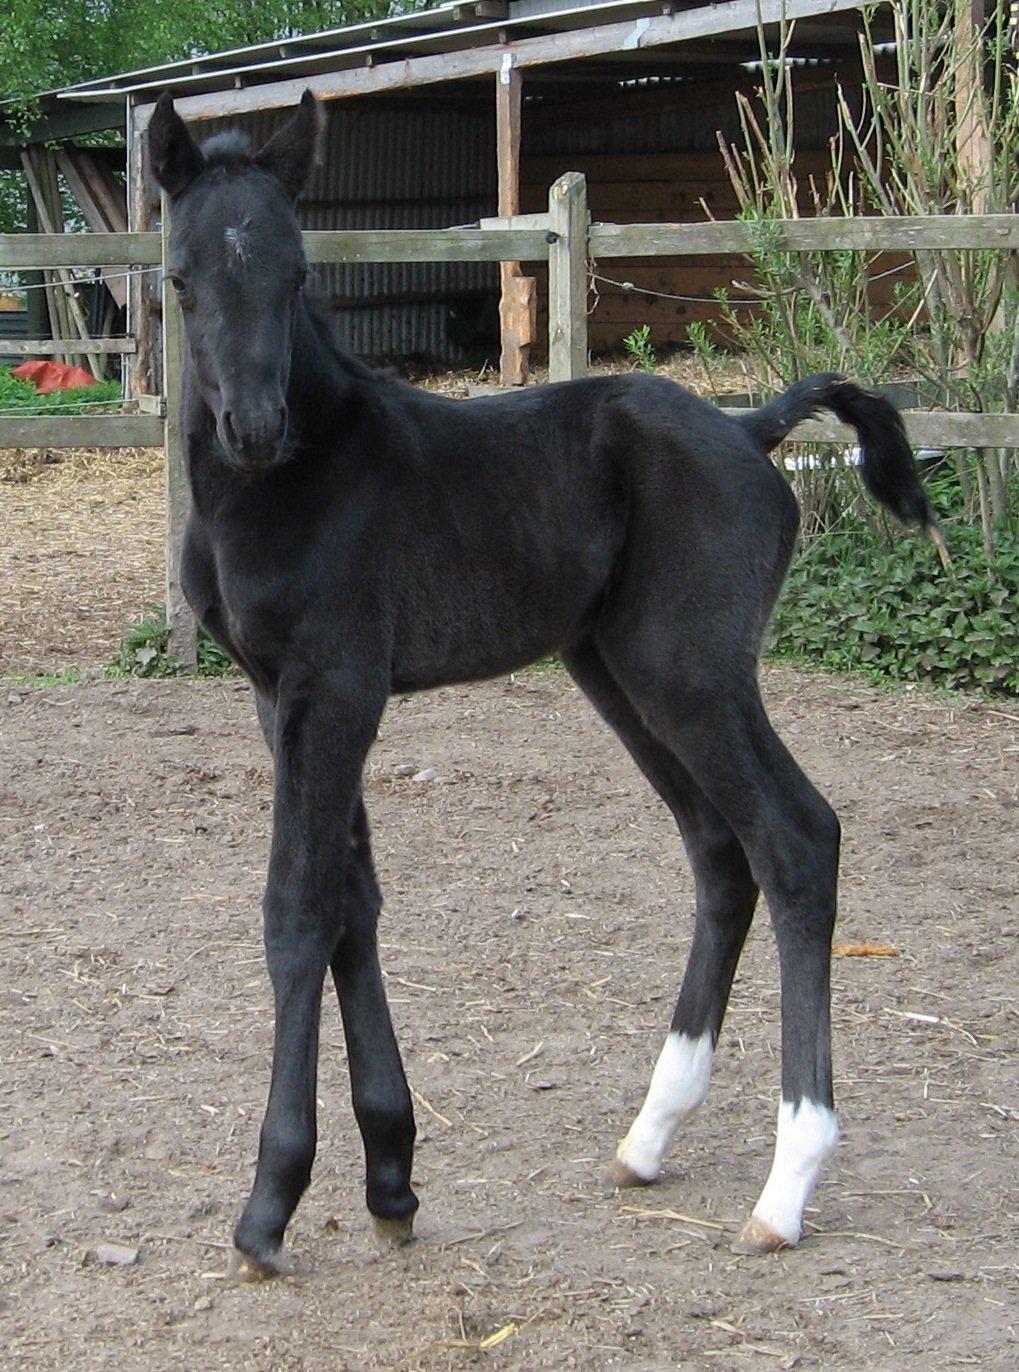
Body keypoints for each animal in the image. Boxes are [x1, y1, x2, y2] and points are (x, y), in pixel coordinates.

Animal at [147, 93, 938, 1273]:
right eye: (181, 276)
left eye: (296, 273)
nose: (253, 429)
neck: (289, 484)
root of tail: (749, 427)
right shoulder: (281, 696)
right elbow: (352, 906)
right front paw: (390, 1176)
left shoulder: (334, 688)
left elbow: (298, 910)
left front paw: (271, 1201)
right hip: (616, 671)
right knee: (720, 853)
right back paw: (650, 1134)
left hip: (688, 672)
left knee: (796, 838)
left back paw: (787, 1179)